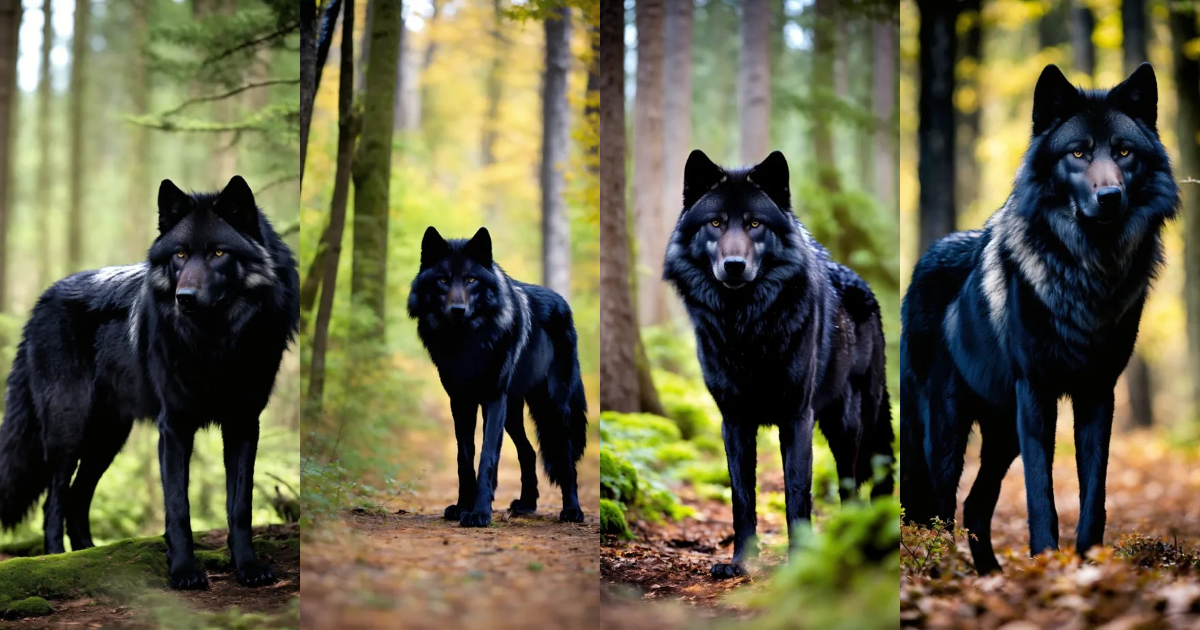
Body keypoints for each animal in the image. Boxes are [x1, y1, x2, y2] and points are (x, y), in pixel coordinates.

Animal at [0, 176, 299, 589]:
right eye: (180, 255)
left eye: (218, 253)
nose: (184, 297)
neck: (215, 345)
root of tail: (42, 300)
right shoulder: (173, 426)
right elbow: (178, 506)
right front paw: (184, 571)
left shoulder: (243, 424)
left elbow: (240, 506)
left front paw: (248, 567)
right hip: (69, 431)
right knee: (55, 499)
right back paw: (57, 560)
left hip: (108, 439)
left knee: (77, 498)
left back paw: (87, 555)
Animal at [408, 227, 588, 528]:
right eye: (443, 279)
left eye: (471, 279)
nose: (457, 310)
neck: (466, 342)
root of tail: (563, 302)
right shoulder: (461, 402)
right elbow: (464, 457)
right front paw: (463, 506)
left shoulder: (493, 400)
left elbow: (487, 458)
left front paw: (479, 512)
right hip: (513, 413)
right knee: (528, 452)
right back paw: (526, 504)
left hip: (551, 408)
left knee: (566, 460)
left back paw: (572, 510)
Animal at [664, 150, 894, 579]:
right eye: (716, 222)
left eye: (755, 224)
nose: (734, 265)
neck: (745, 328)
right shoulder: (734, 421)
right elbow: (742, 496)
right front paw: (740, 562)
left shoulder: (796, 417)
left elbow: (796, 495)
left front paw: (800, 564)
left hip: (849, 423)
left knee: (853, 483)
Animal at [900, 63, 1179, 574]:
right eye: (1078, 153)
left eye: (1123, 151)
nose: (1110, 196)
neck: (1088, 274)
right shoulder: (1036, 391)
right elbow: (1040, 493)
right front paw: (1047, 563)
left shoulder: (1098, 392)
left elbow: (1094, 494)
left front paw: (1086, 564)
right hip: (947, 430)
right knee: (940, 507)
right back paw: (938, 574)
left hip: (1002, 432)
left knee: (974, 504)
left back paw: (990, 575)